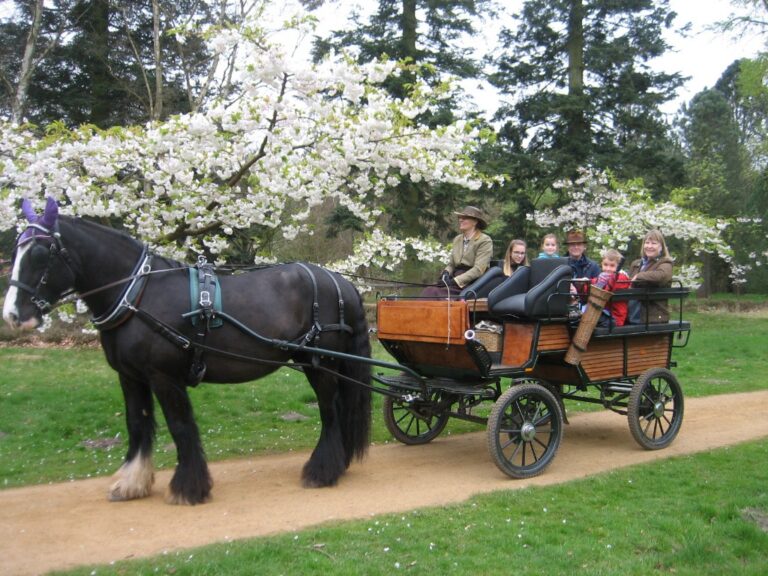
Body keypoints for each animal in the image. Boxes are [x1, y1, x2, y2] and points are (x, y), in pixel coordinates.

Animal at [0, 201, 372, 504]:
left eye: (39, 254)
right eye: (16, 252)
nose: (13, 316)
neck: (137, 294)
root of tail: (340, 282)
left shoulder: (164, 377)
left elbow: (179, 426)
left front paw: (188, 488)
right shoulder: (130, 377)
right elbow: (137, 423)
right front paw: (132, 483)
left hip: (321, 364)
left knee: (330, 409)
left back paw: (322, 471)